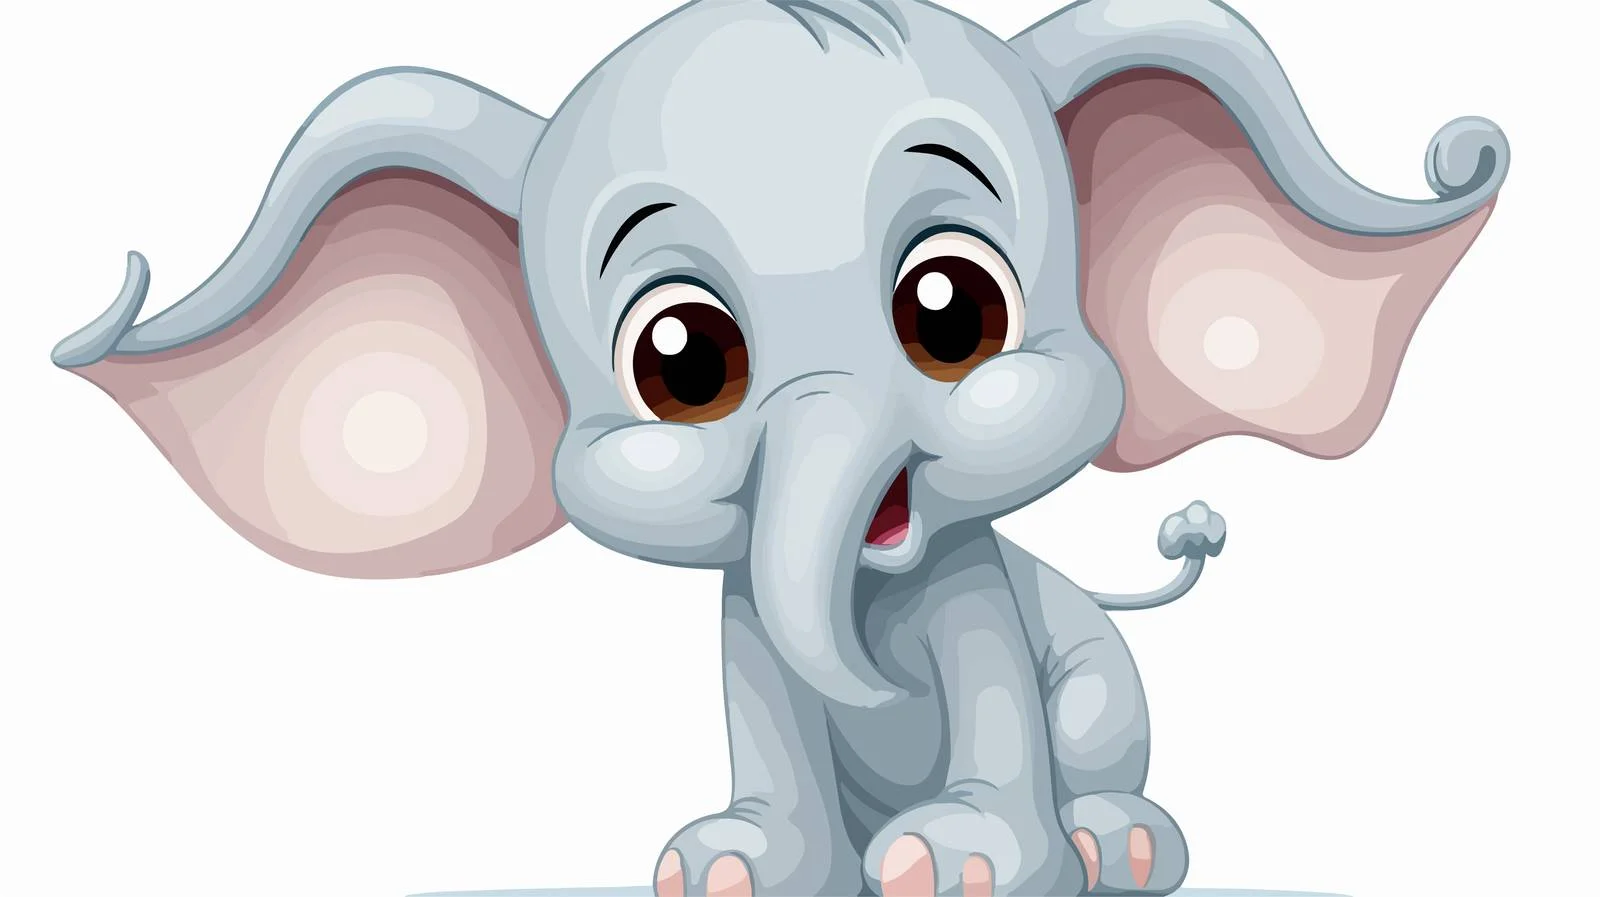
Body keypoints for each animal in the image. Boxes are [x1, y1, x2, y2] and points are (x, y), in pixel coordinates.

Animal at [50, 0, 1507, 894]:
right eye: (682, 362)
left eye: (952, 313)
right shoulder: (742, 619)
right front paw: (729, 867)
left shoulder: (975, 592)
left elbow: (983, 676)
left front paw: (958, 865)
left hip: (1106, 685)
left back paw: (1115, 849)